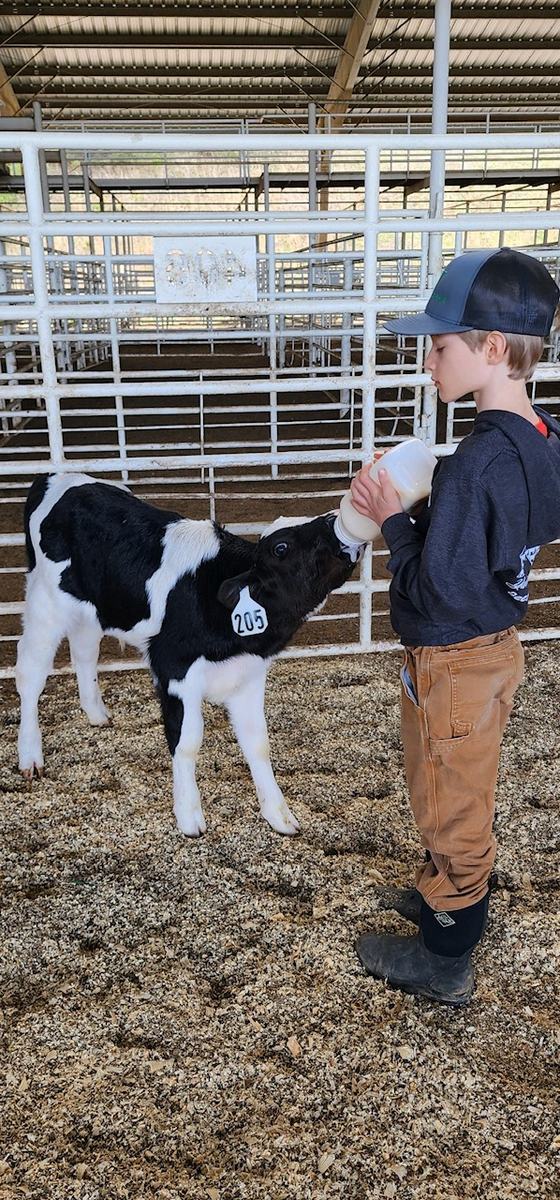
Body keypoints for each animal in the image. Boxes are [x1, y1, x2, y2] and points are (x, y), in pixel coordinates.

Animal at [16, 474, 359, 836]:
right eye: (281, 548)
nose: (334, 519)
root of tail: (55, 477)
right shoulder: (174, 670)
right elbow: (187, 741)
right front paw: (189, 816)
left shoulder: (249, 674)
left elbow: (258, 743)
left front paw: (279, 815)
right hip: (45, 605)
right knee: (30, 674)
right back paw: (30, 757)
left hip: (93, 609)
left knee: (84, 651)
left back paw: (97, 715)